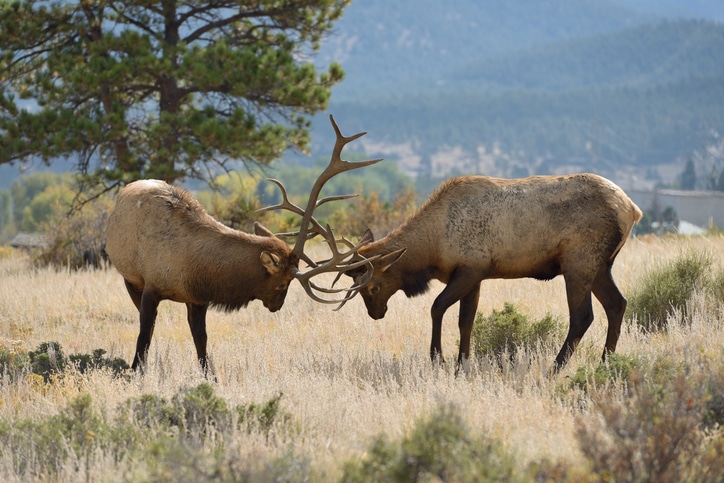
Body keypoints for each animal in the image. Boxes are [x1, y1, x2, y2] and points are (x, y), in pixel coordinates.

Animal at [106, 114, 384, 374]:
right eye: (282, 283)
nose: (277, 306)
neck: (193, 268)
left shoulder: (197, 299)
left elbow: (201, 340)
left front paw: (211, 376)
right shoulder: (151, 286)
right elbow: (144, 335)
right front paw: (137, 371)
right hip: (129, 278)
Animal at [346, 176, 644, 372]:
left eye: (372, 287)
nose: (376, 313)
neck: (434, 248)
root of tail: (633, 209)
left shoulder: (471, 268)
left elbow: (437, 307)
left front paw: (438, 359)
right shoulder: (474, 276)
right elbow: (465, 321)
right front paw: (462, 364)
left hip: (579, 261)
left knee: (583, 315)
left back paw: (555, 368)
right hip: (601, 266)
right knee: (617, 304)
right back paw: (606, 363)